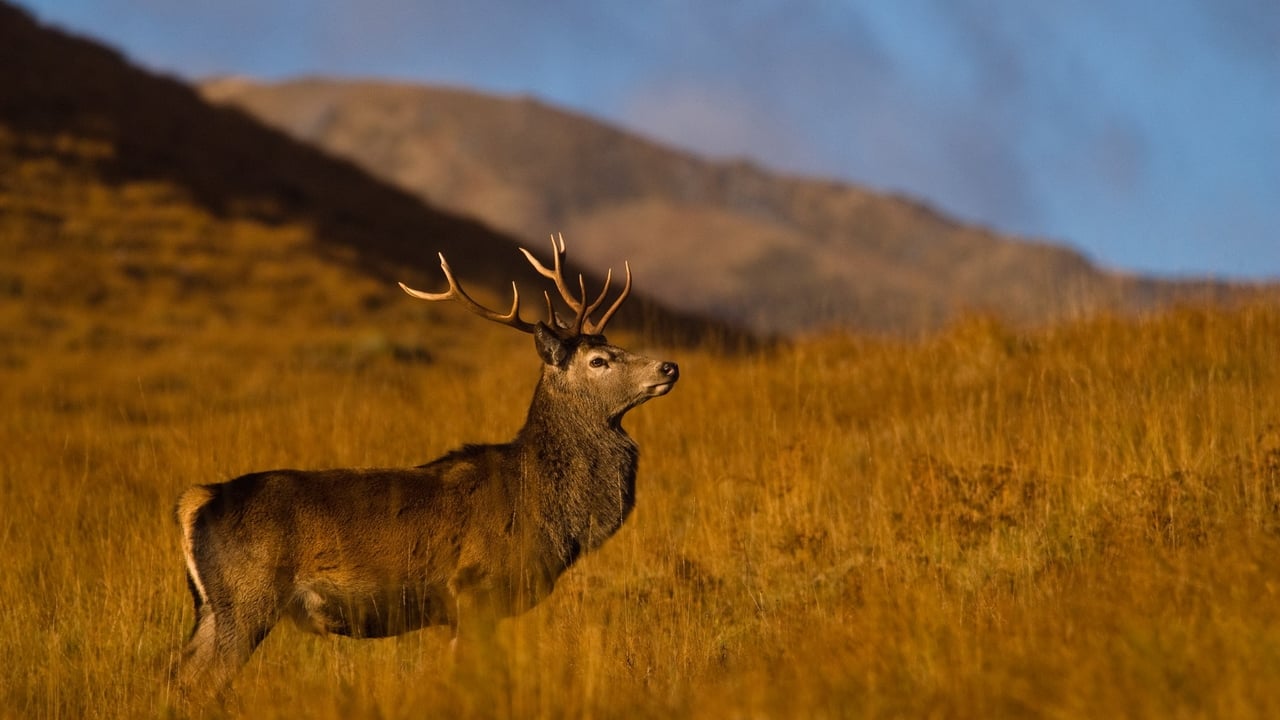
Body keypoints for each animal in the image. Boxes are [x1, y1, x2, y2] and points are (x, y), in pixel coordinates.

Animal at [175, 235, 686, 707]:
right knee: (201, 683)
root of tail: (197, 500)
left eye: (615, 344)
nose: (669, 366)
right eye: (599, 360)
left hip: (213, 607)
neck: (545, 501)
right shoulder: (476, 588)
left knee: (178, 675)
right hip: (248, 597)